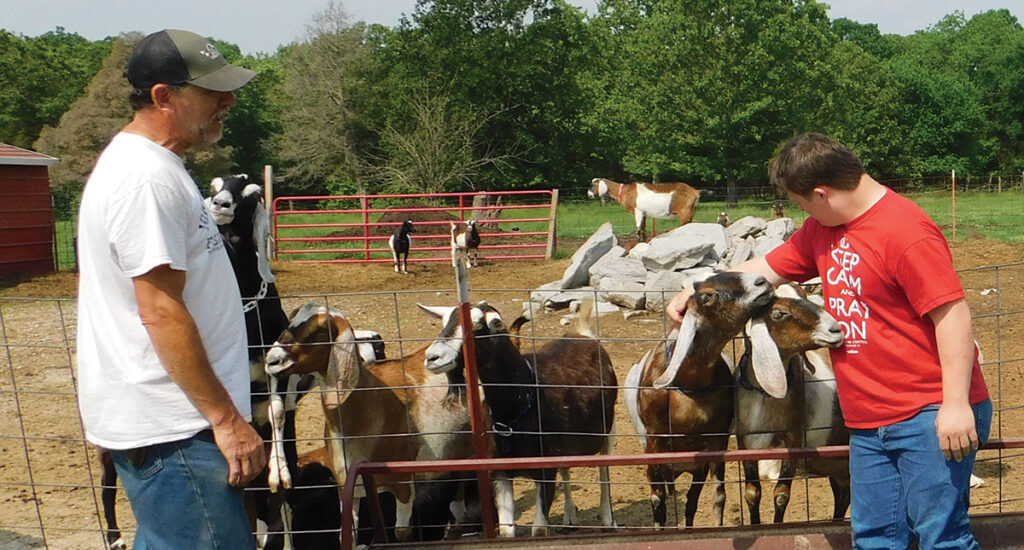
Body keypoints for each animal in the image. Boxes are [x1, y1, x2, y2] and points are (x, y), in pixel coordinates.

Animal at [262, 305, 473, 540]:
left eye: (320, 329)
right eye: (290, 320)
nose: (272, 359)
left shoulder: (403, 483)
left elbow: (401, 532)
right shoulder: (347, 485)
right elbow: (349, 532)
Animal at [417, 301, 614, 536]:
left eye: (478, 326)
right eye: (444, 322)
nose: (431, 357)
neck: (521, 403)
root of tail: (584, 335)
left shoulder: (545, 471)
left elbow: (539, 530)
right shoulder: (500, 472)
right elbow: (506, 531)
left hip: (609, 430)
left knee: (604, 468)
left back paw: (608, 518)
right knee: (566, 468)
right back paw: (569, 517)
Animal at [618, 272, 770, 524]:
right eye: (707, 296)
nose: (762, 281)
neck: (690, 388)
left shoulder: (716, 443)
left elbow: (717, 497)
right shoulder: (654, 442)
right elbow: (658, 501)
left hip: (697, 467)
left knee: (690, 503)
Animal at [737, 282, 847, 522]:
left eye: (804, 296)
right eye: (778, 313)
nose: (835, 329)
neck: (765, 397)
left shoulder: (794, 438)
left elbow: (781, 495)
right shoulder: (744, 441)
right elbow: (751, 492)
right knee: (844, 493)